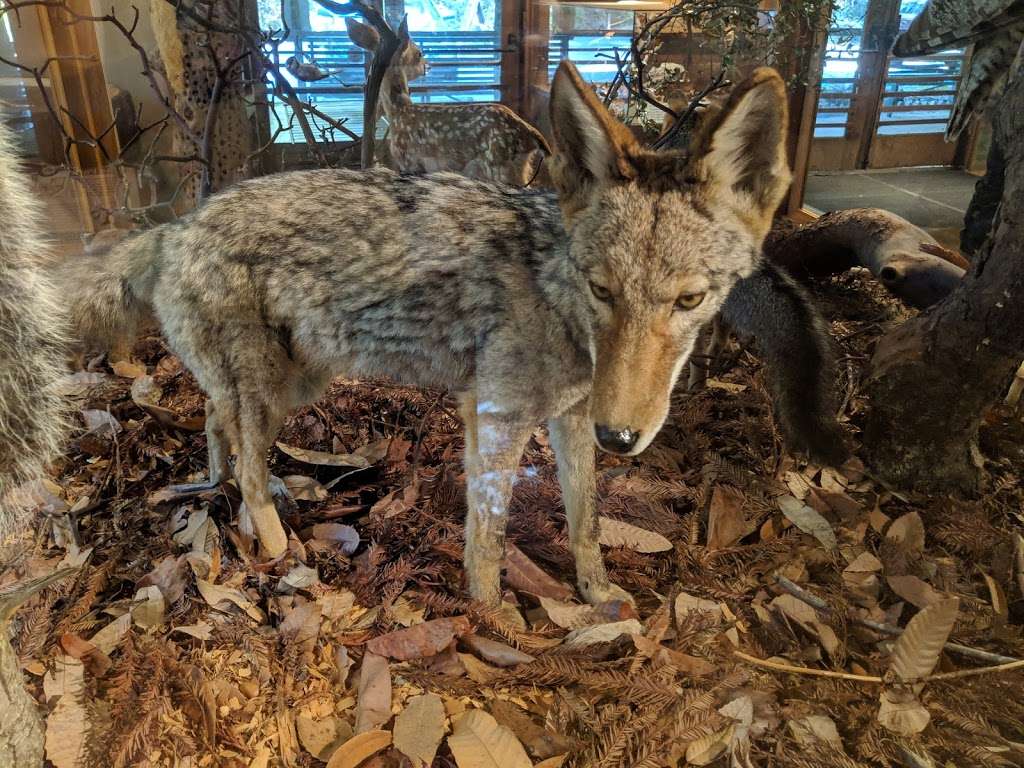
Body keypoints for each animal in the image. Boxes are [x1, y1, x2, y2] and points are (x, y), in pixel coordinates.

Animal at [346, 15, 552, 186]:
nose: (428, 66)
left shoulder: (409, 161)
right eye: (419, 53)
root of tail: (530, 134)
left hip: (500, 164)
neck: (400, 111)